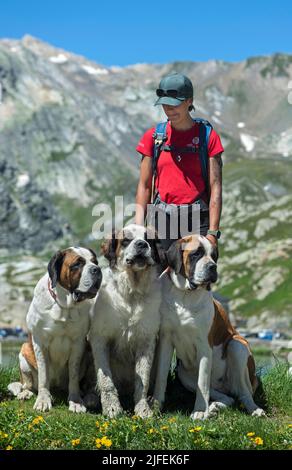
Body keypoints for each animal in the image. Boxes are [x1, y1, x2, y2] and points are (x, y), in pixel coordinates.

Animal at [8, 248, 101, 414]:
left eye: (95, 262)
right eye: (77, 264)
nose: (97, 269)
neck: (65, 306)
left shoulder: (78, 343)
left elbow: (74, 375)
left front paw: (76, 401)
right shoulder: (40, 343)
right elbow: (44, 376)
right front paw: (43, 401)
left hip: (90, 352)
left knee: (88, 385)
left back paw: (90, 398)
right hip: (24, 352)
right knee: (29, 384)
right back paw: (26, 393)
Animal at [89, 224, 162, 418]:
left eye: (149, 239)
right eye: (126, 240)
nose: (142, 244)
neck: (132, 292)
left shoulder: (146, 340)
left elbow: (142, 378)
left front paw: (143, 409)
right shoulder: (99, 338)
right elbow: (105, 379)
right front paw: (112, 408)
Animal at [153, 235, 264, 418]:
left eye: (214, 256)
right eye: (196, 253)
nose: (213, 267)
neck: (185, 294)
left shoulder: (204, 345)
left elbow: (202, 381)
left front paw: (199, 411)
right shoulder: (165, 340)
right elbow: (160, 377)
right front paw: (155, 405)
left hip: (237, 346)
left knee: (243, 393)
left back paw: (254, 409)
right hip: (183, 374)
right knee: (229, 398)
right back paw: (214, 407)